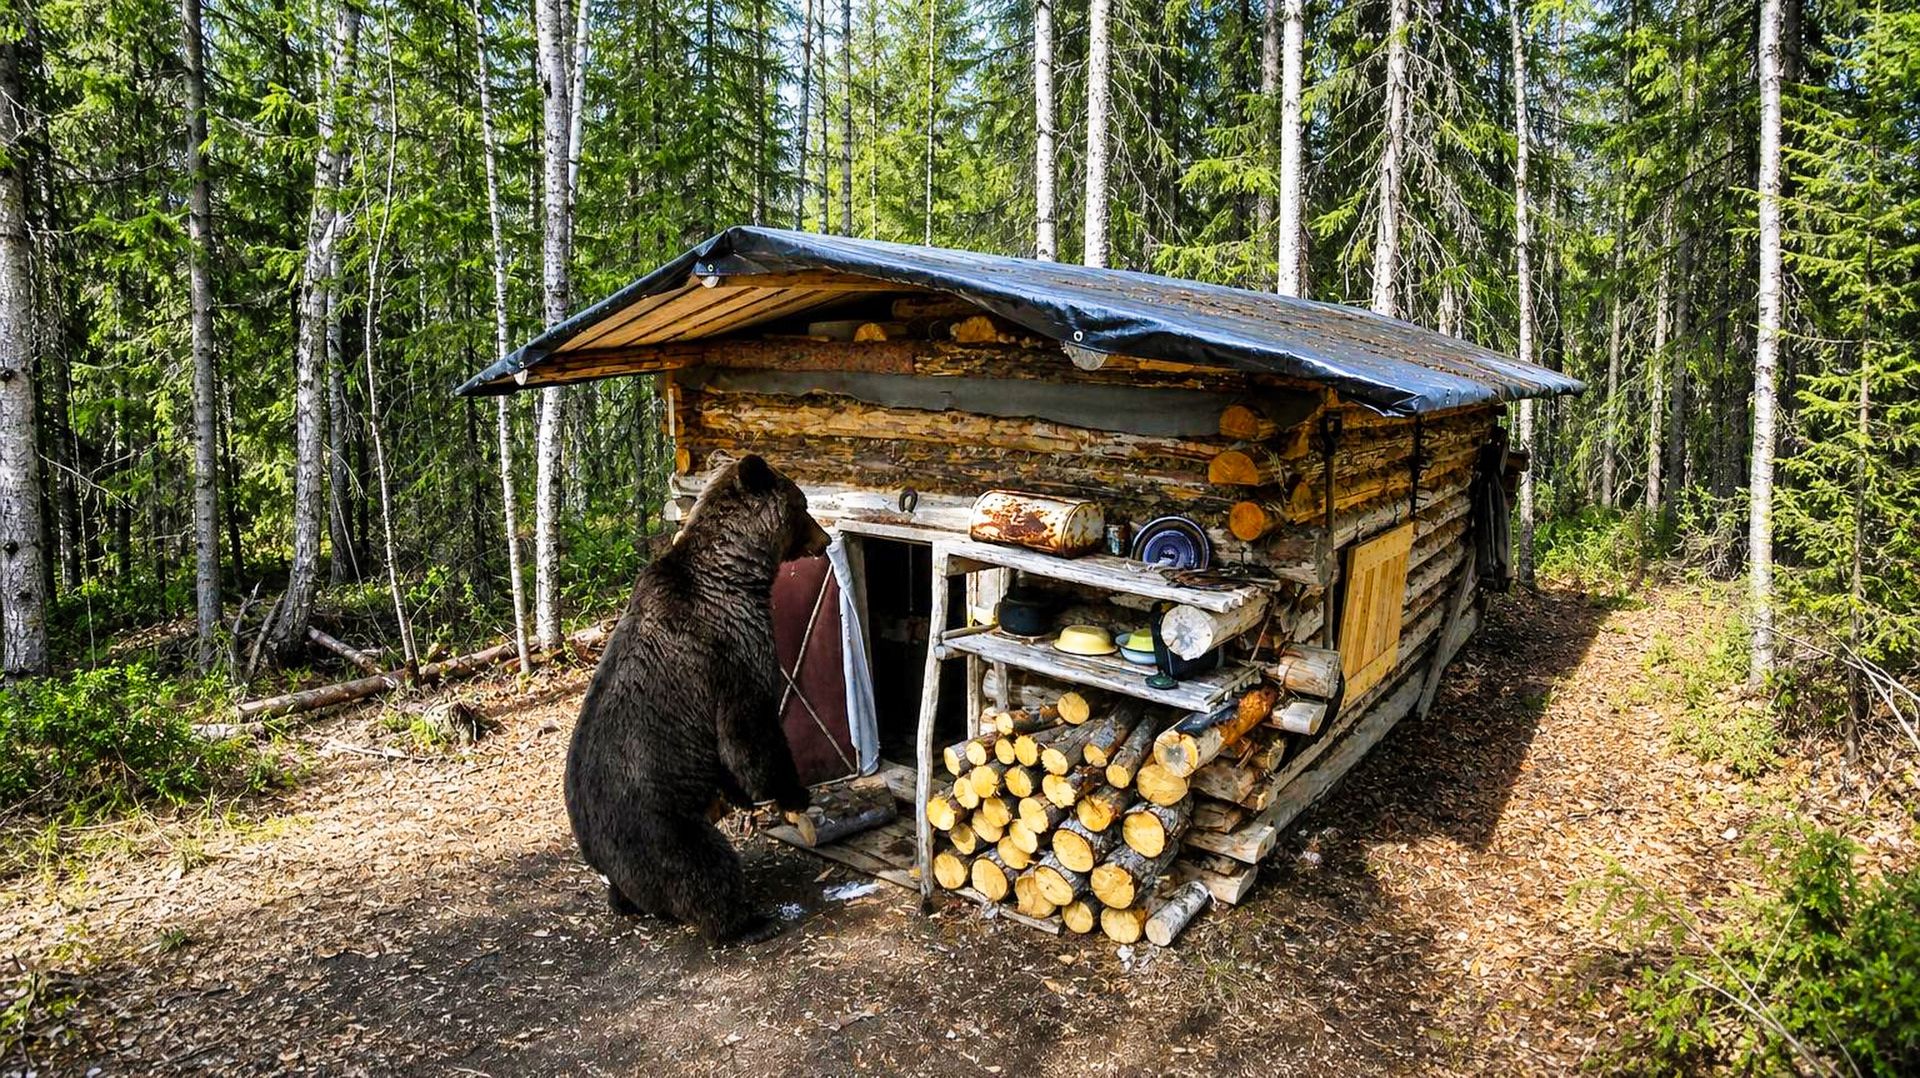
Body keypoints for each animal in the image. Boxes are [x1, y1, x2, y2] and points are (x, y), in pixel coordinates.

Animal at [563, 454, 831, 945]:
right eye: (802, 504)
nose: (825, 539)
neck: (736, 574)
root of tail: (597, 859)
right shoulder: (727, 654)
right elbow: (749, 735)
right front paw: (794, 792)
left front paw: (743, 797)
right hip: (659, 827)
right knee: (704, 869)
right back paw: (748, 920)